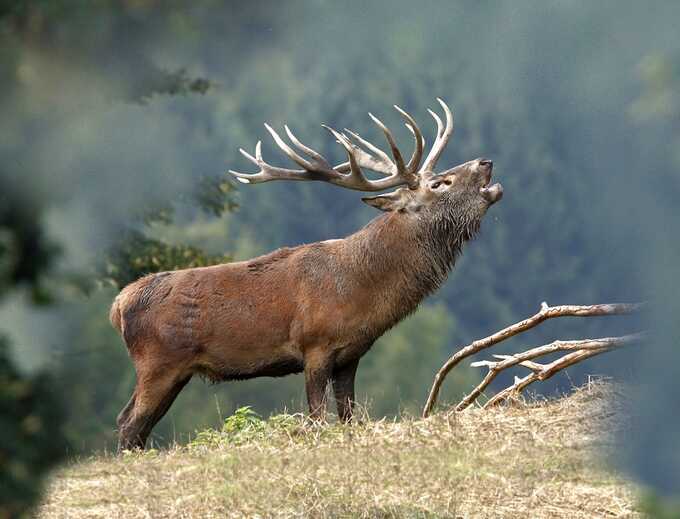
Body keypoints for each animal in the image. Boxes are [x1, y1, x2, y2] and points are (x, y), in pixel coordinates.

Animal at [110, 99, 503, 449]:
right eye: (440, 184)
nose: (486, 162)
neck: (364, 291)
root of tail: (118, 305)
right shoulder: (314, 345)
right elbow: (316, 418)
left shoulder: (351, 354)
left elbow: (348, 417)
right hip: (158, 362)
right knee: (129, 423)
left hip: (175, 371)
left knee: (135, 424)